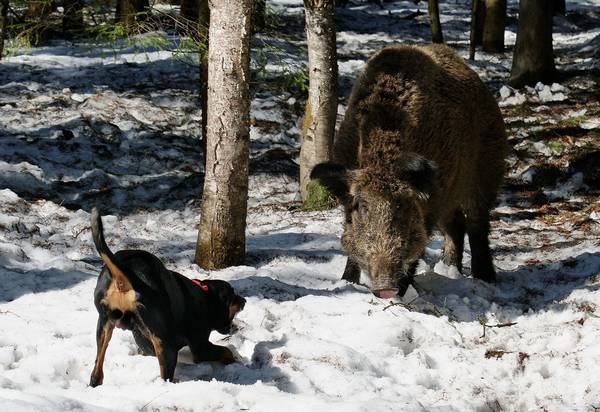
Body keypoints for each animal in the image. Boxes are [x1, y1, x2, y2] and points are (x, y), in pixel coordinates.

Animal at [87, 208, 246, 388]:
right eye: (233, 294)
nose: (244, 300)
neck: (205, 295)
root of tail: (125, 273)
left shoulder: (145, 344)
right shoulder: (200, 347)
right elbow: (227, 351)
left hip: (104, 325)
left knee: (96, 368)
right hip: (164, 341)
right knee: (165, 377)